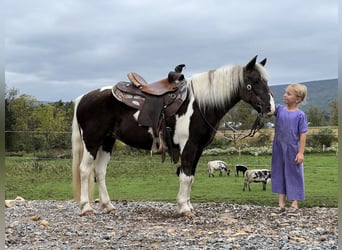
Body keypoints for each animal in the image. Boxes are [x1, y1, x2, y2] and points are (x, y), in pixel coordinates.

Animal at [71, 55, 276, 216]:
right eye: (254, 81)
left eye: (265, 81)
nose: (270, 108)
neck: (200, 105)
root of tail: (83, 98)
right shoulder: (189, 146)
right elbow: (185, 176)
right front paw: (184, 209)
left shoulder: (199, 148)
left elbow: (191, 176)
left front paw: (189, 206)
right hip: (92, 141)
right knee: (85, 170)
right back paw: (86, 208)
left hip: (107, 141)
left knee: (100, 171)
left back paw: (109, 206)